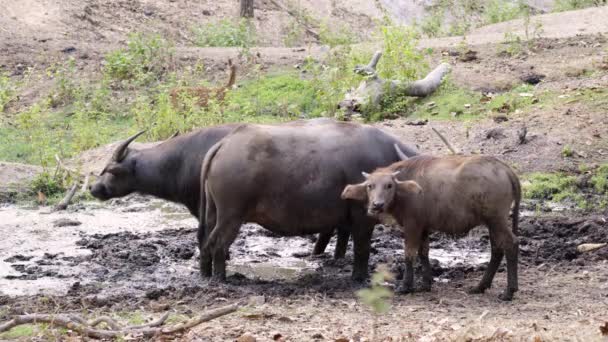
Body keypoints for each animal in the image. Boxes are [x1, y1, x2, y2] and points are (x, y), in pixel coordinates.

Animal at [200, 121, 418, 282]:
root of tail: (224, 144)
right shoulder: (362, 218)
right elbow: (362, 249)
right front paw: (359, 277)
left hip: (213, 212)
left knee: (205, 241)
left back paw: (205, 274)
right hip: (231, 215)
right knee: (218, 243)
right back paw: (220, 278)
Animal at [342, 154, 524, 300]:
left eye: (389, 185)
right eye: (370, 186)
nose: (377, 205)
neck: (407, 191)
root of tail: (504, 168)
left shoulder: (412, 225)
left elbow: (409, 254)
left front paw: (406, 286)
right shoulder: (423, 227)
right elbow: (423, 253)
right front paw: (426, 283)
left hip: (497, 220)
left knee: (511, 244)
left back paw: (509, 291)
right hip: (492, 222)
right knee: (497, 249)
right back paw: (480, 287)